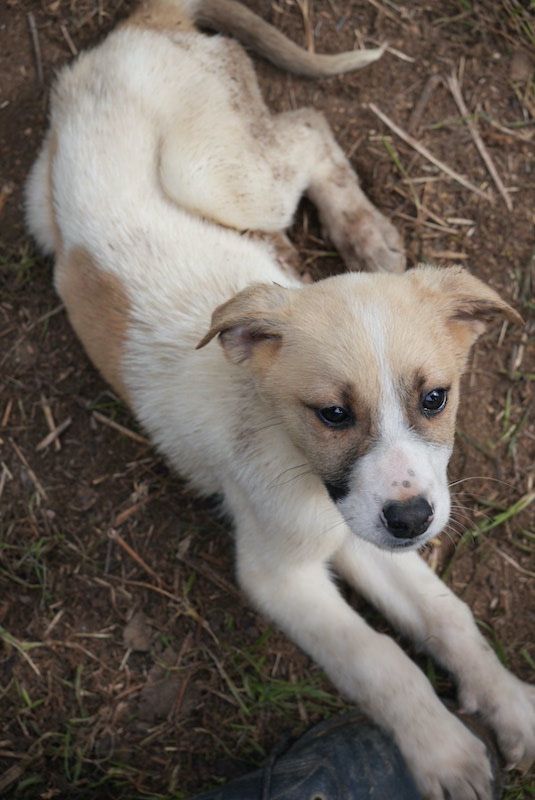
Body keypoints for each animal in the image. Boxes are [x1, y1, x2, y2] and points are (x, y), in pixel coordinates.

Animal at [27, 3, 532, 796]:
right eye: (333, 414)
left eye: (434, 397)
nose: (413, 520)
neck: (293, 460)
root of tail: (140, 23)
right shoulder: (283, 571)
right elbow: (380, 659)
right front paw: (442, 752)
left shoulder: (368, 524)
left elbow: (446, 615)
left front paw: (510, 704)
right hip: (207, 176)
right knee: (306, 124)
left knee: (308, 131)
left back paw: (366, 235)